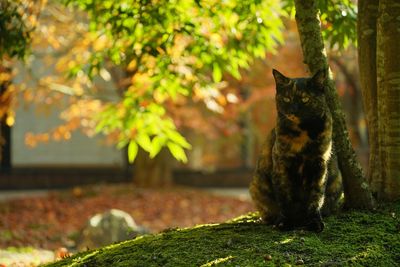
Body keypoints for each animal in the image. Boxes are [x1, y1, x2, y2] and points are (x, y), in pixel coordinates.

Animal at [250, 69, 340, 232]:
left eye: (305, 99)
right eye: (286, 99)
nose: (293, 111)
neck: (302, 132)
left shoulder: (319, 165)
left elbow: (316, 196)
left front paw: (314, 222)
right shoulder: (281, 164)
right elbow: (285, 196)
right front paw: (285, 222)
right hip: (256, 186)